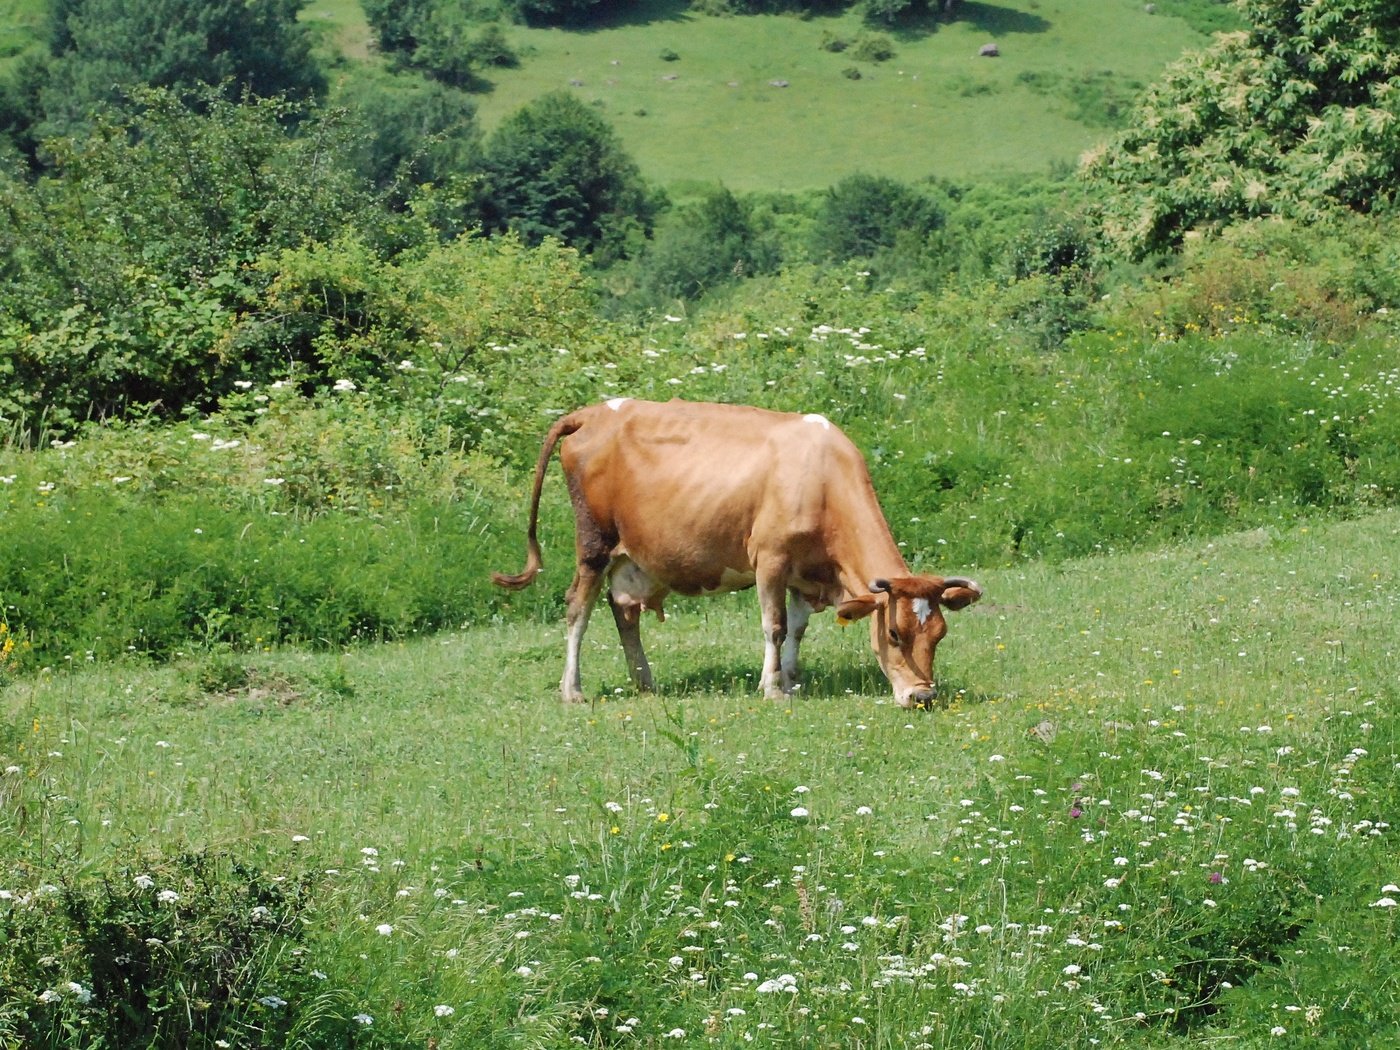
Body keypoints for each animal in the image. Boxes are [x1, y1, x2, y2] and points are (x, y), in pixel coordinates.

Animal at [492, 397, 985, 711]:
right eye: (895, 635)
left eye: (939, 635)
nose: (923, 696)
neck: (822, 476)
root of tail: (591, 413)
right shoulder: (770, 559)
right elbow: (776, 626)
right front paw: (772, 688)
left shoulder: (806, 572)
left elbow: (799, 628)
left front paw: (791, 679)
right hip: (594, 543)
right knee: (579, 607)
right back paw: (572, 690)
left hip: (632, 556)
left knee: (623, 610)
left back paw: (645, 681)